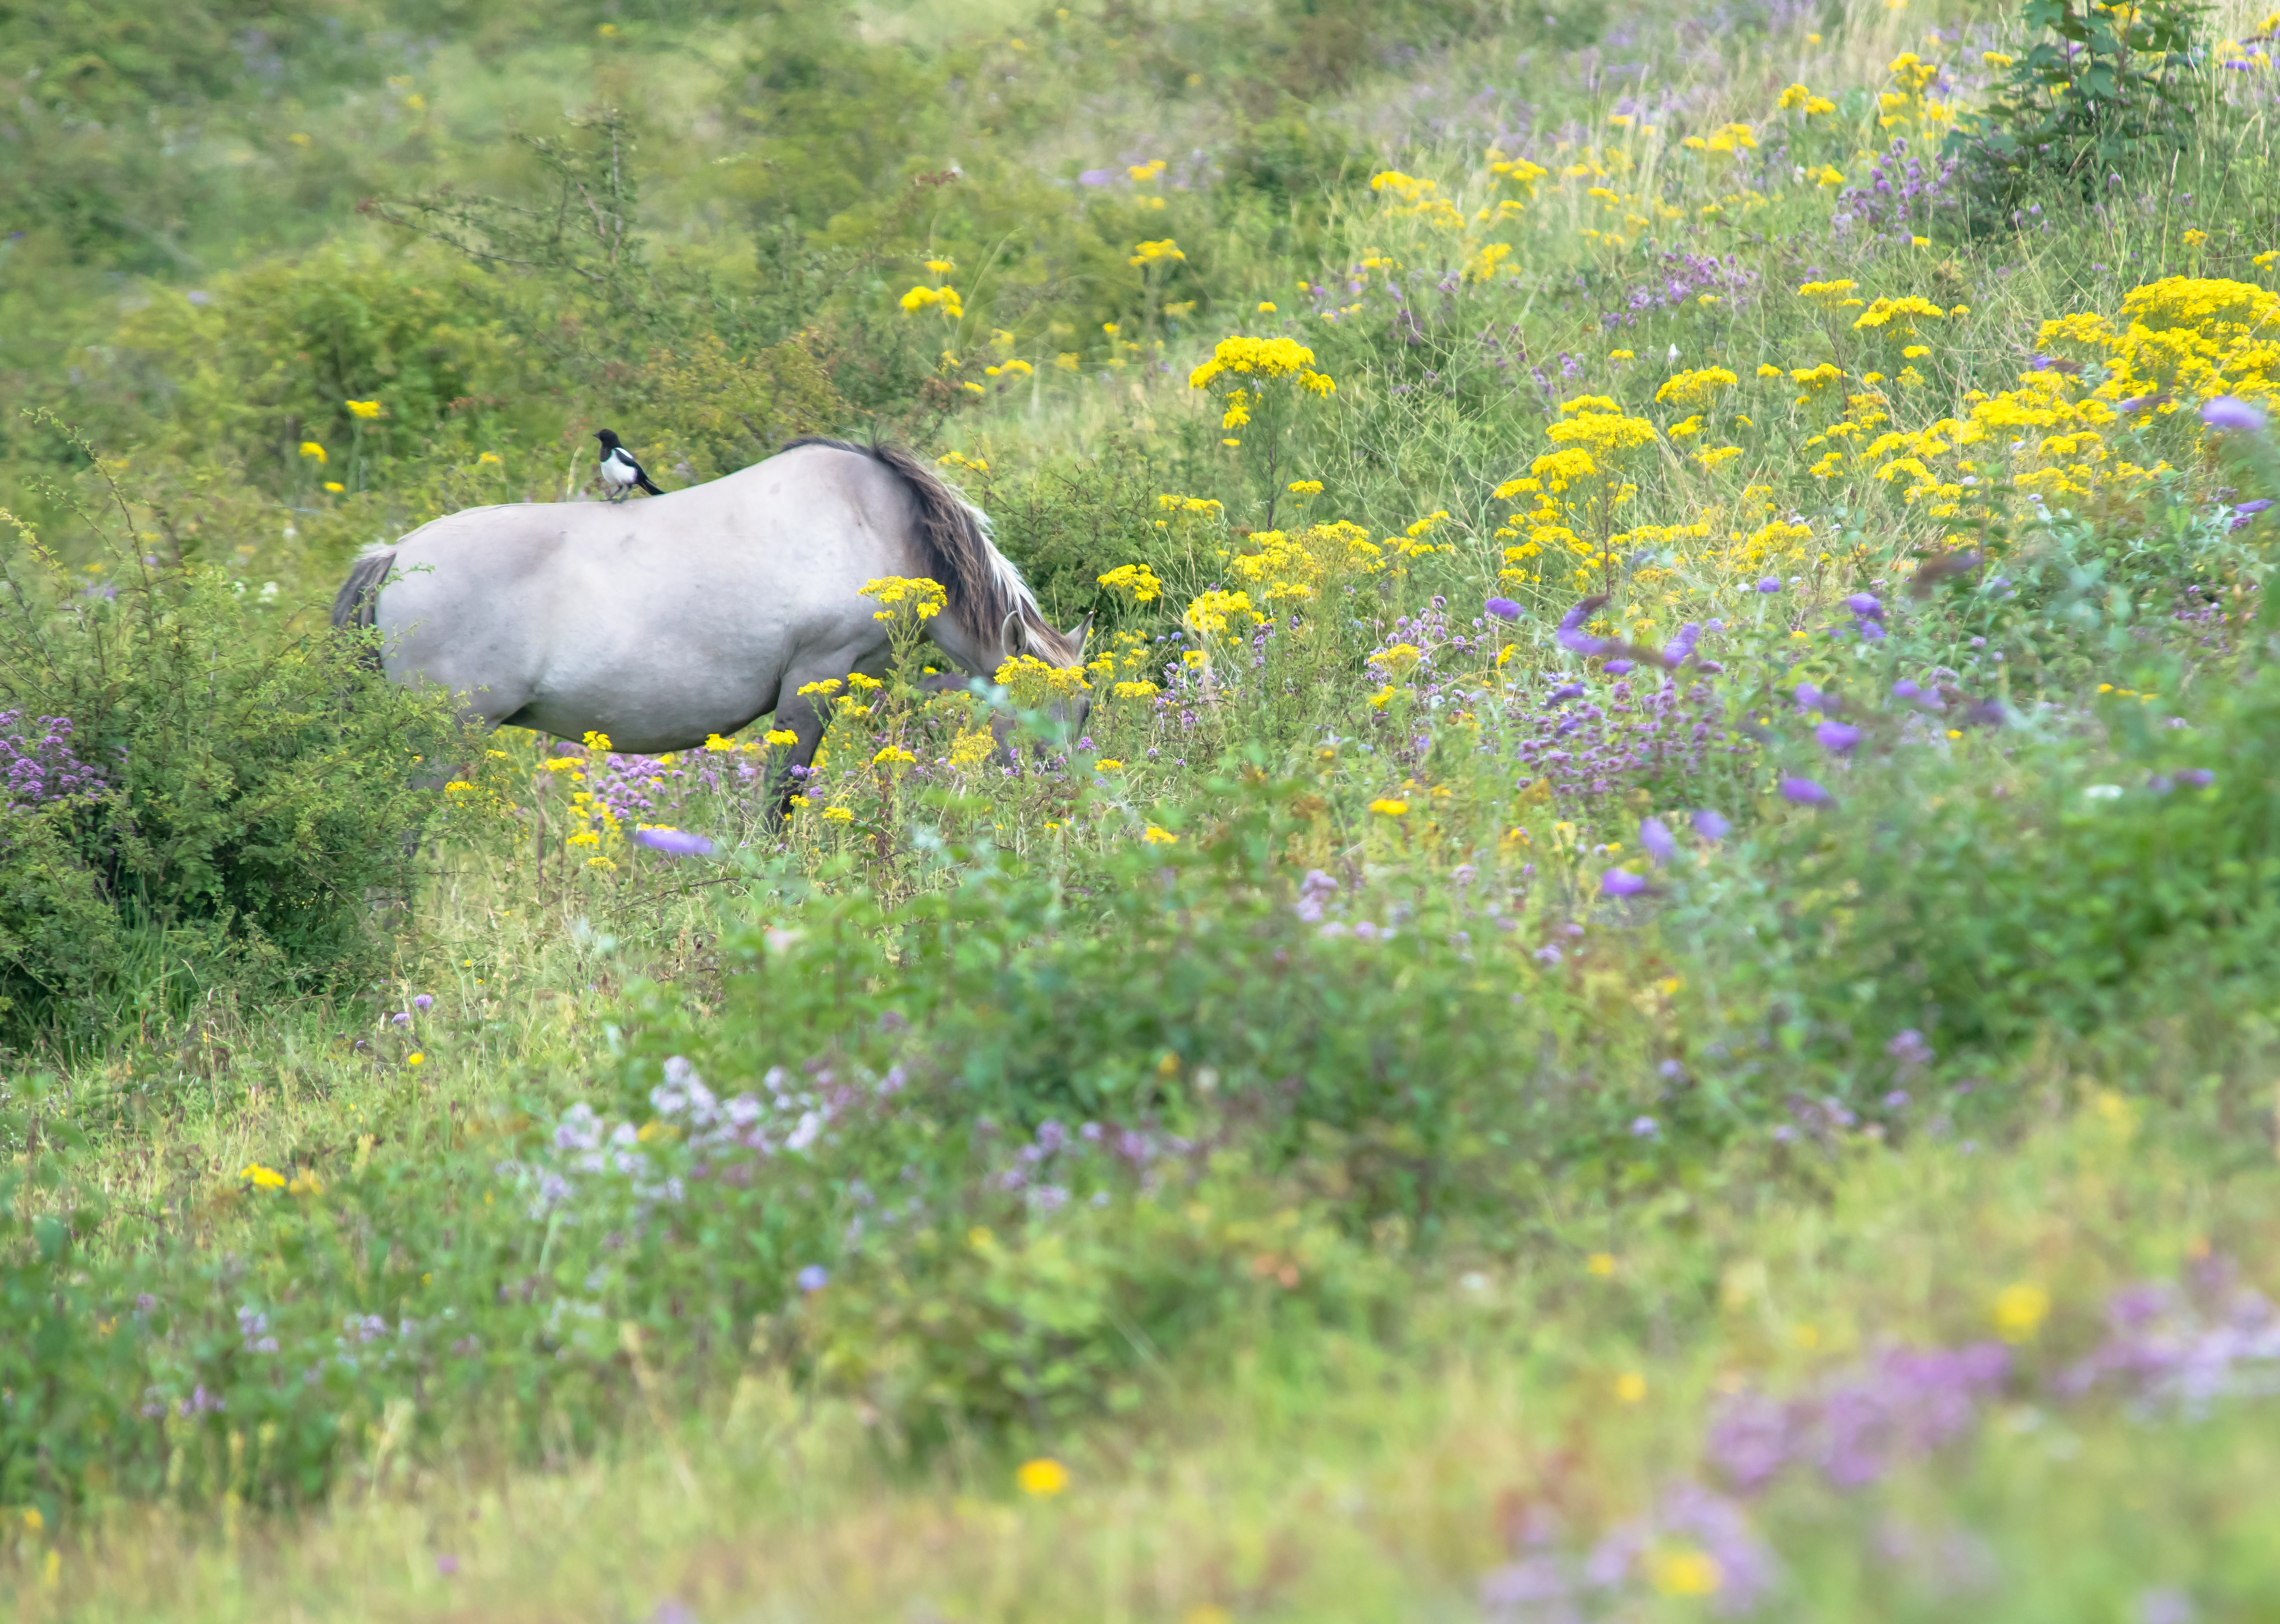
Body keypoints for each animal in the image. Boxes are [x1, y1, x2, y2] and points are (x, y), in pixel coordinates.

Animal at [328, 438, 1094, 807]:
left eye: (1085, 708)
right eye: (1060, 708)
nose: (1063, 795)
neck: (877, 521)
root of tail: (395, 556)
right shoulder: (813, 678)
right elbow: (781, 794)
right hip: (439, 742)